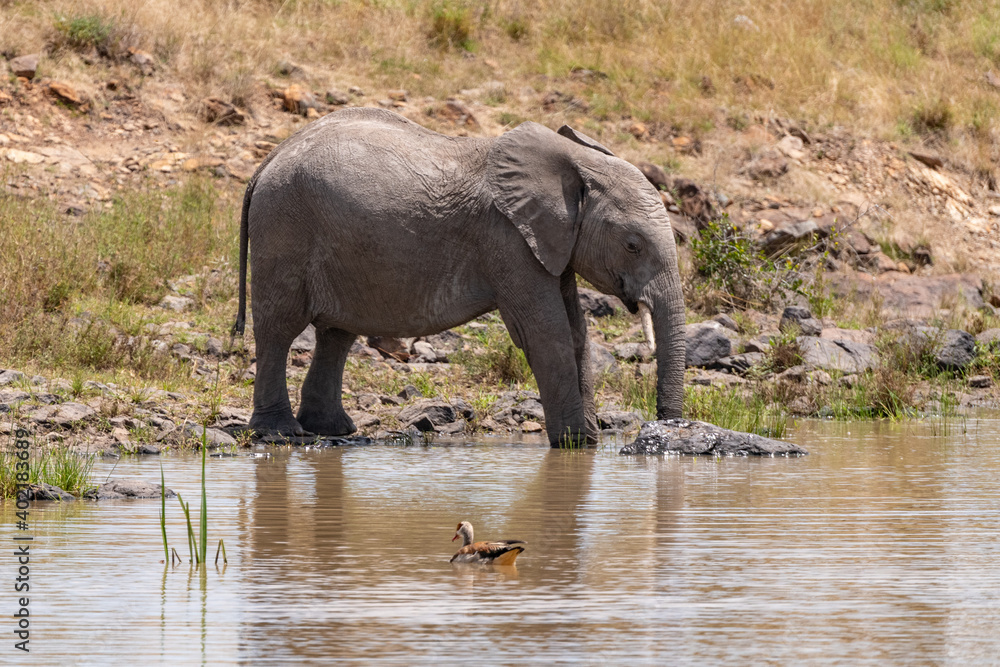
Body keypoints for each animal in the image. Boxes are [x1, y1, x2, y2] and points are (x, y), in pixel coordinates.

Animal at [232, 107, 685, 446]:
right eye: (632, 245)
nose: (663, 427)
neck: (573, 161)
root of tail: (269, 159)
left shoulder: (553, 245)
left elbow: (575, 331)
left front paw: (584, 445)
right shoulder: (507, 240)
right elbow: (545, 332)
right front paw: (575, 446)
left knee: (337, 333)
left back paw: (332, 429)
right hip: (284, 228)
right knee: (280, 327)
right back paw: (280, 433)